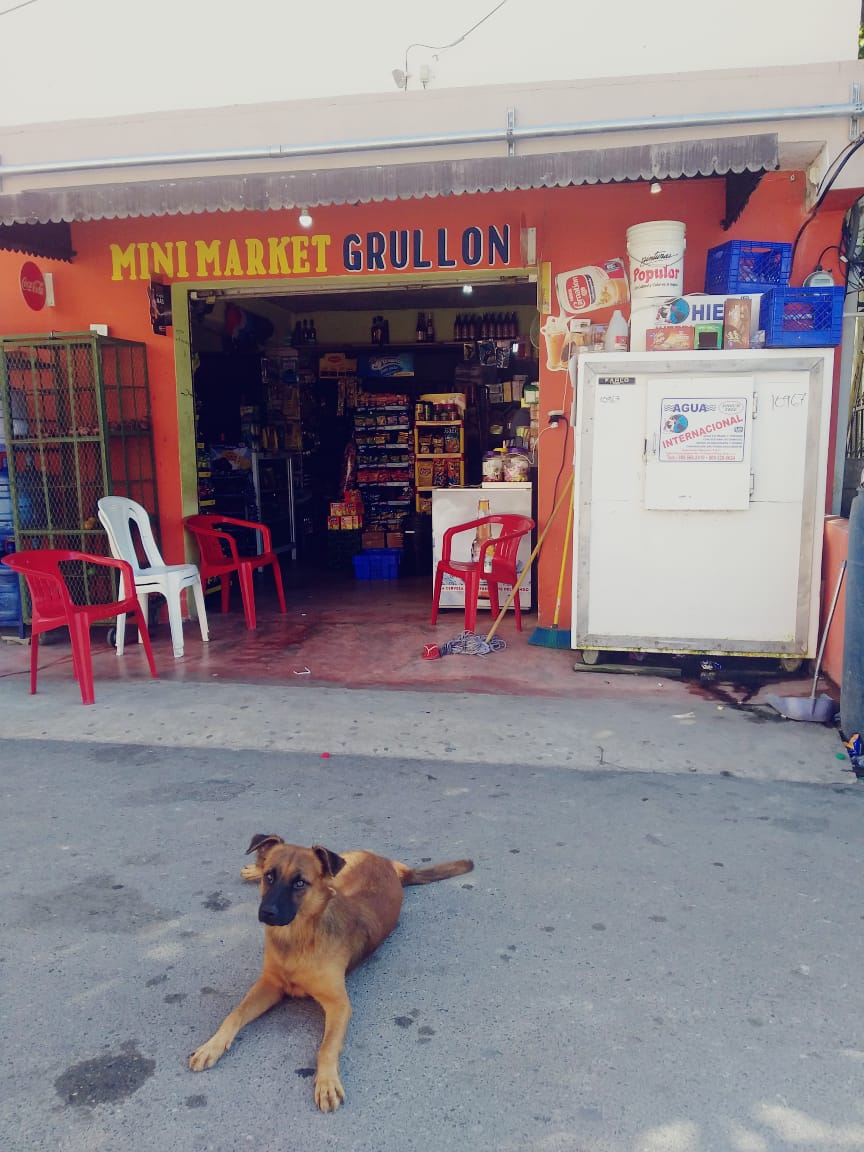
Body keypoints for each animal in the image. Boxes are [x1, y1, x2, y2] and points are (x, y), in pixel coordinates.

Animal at [188, 834, 476, 1110]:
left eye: (300, 883)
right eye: (271, 876)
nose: (266, 913)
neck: (298, 939)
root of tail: (388, 864)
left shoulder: (339, 1004)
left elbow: (326, 1047)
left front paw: (327, 1083)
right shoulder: (269, 985)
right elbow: (234, 1015)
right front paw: (211, 1046)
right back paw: (252, 868)